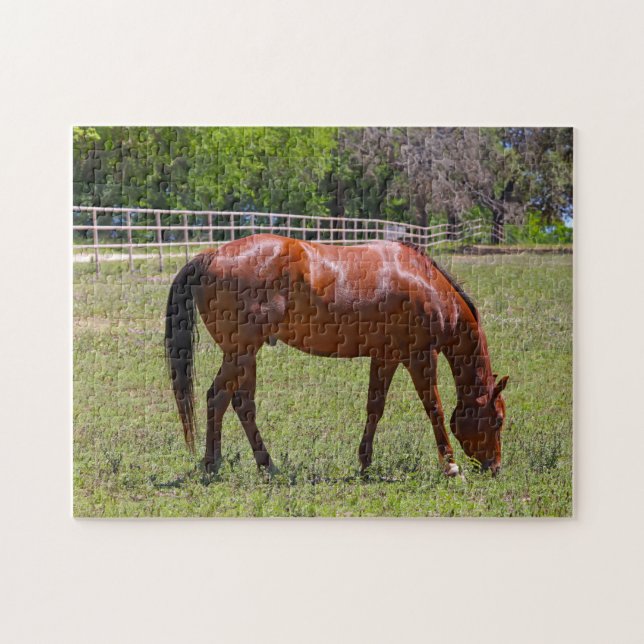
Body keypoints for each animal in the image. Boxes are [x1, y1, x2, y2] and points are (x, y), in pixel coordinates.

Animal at [164, 233, 508, 477]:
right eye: (498, 419)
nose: (494, 467)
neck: (423, 279)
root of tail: (212, 255)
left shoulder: (386, 357)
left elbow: (375, 408)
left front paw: (366, 462)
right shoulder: (420, 356)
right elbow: (433, 408)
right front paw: (450, 466)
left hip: (245, 355)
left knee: (240, 404)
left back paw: (264, 465)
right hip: (241, 353)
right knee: (218, 398)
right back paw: (215, 465)